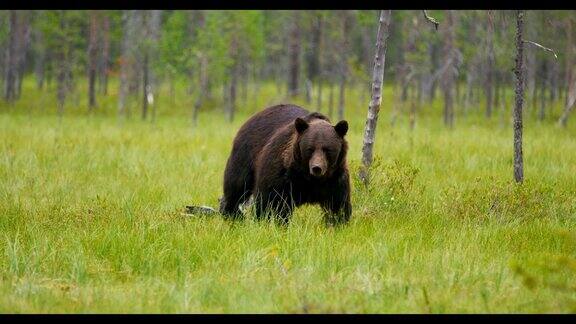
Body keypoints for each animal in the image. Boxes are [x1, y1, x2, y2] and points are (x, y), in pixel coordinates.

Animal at [218, 104, 348, 225]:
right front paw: (271, 221)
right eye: (310, 149)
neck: (308, 178)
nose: (317, 168)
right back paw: (233, 213)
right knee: (237, 186)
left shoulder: (334, 179)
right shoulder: (282, 174)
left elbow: (338, 205)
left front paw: (338, 221)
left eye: (328, 150)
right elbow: (271, 201)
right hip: (245, 154)